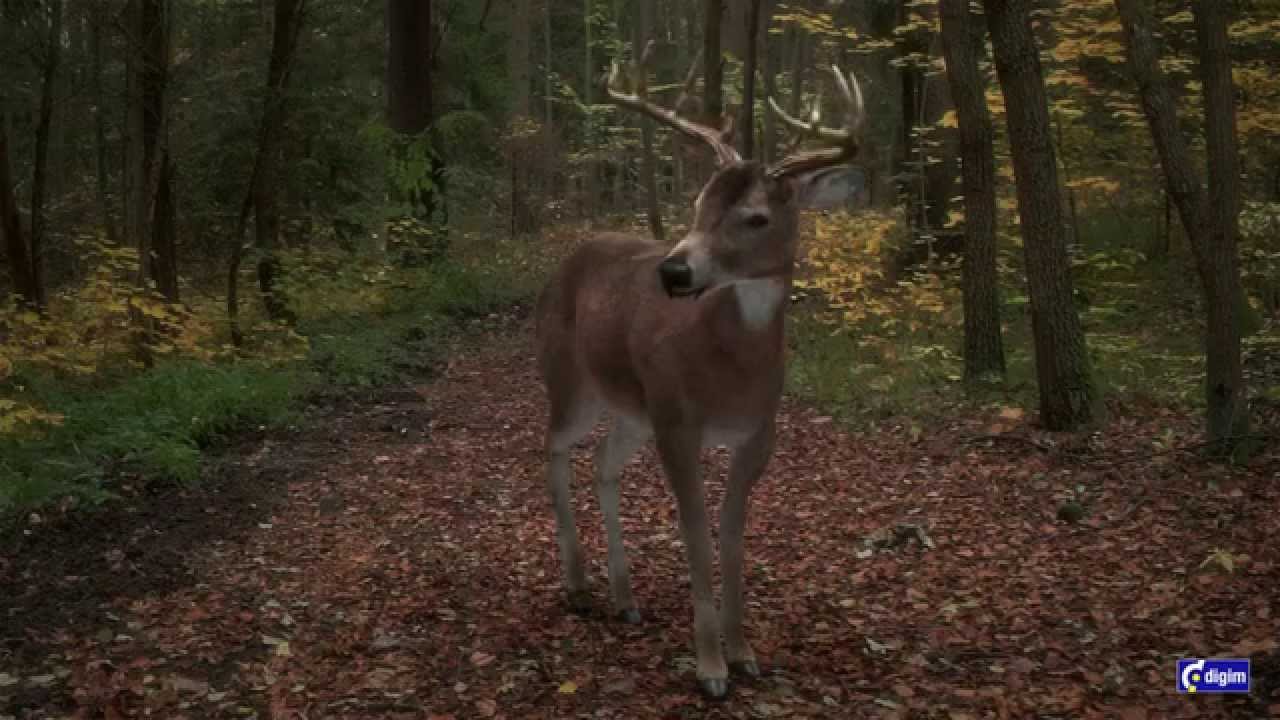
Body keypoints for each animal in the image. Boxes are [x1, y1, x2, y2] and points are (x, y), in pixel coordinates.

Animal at [534, 44, 867, 699]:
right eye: (697, 204)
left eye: (756, 217)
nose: (673, 271)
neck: (729, 369)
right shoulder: (678, 422)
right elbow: (694, 533)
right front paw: (710, 667)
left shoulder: (757, 432)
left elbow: (732, 535)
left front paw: (744, 653)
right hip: (572, 378)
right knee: (555, 447)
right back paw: (578, 584)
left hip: (634, 408)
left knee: (602, 461)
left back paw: (624, 598)